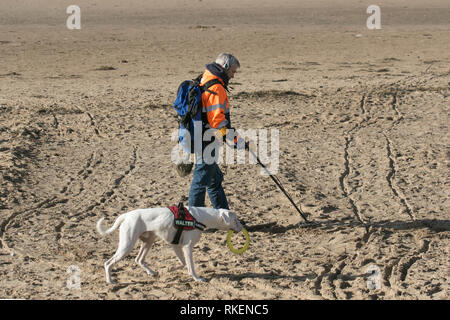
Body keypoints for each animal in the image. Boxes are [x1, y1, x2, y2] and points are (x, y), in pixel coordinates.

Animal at [96, 205, 243, 282]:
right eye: (235, 220)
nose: (242, 228)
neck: (201, 217)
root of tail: (126, 215)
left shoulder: (176, 245)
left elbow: (184, 263)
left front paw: (173, 269)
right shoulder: (187, 247)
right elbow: (191, 265)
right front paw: (197, 278)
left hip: (148, 242)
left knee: (139, 260)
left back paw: (151, 272)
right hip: (127, 245)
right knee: (108, 263)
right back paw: (110, 281)